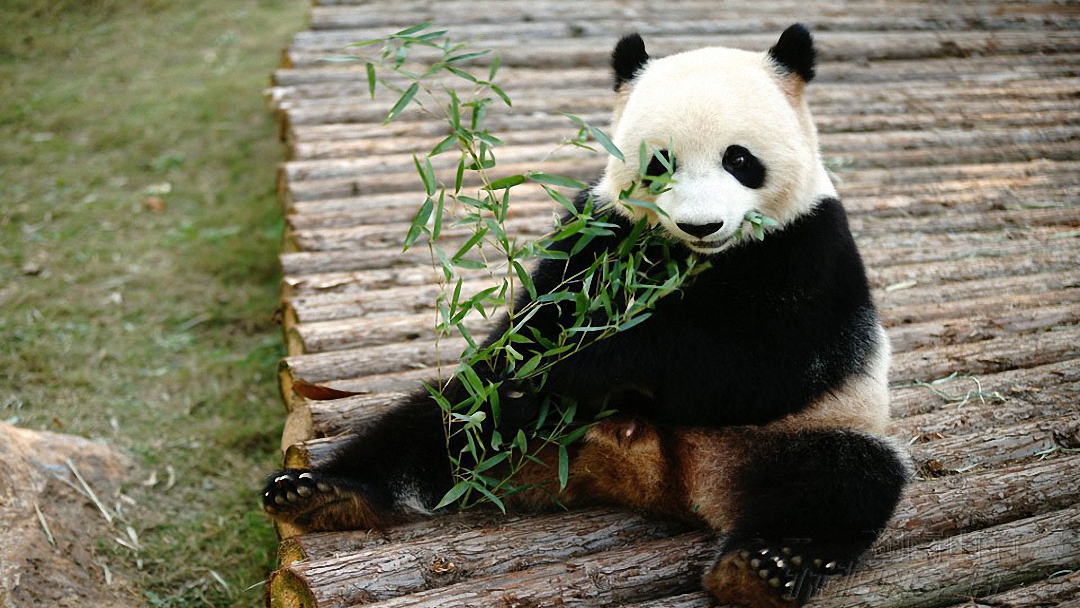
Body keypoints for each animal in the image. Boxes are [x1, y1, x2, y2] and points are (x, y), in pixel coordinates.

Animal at [263, 24, 911, 608]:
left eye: (740, 159)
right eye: (660, 162)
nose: (701, 225)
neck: (693, 261)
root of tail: (660, 478)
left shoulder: (811, 247)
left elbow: (769, 363)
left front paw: (594, 359)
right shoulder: (599, 230)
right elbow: (532, 324)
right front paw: (554, 355)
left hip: (802, 431)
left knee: (839, 482)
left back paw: (762, 569)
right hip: (511, 426)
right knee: (442, 422)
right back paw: (322, 492)